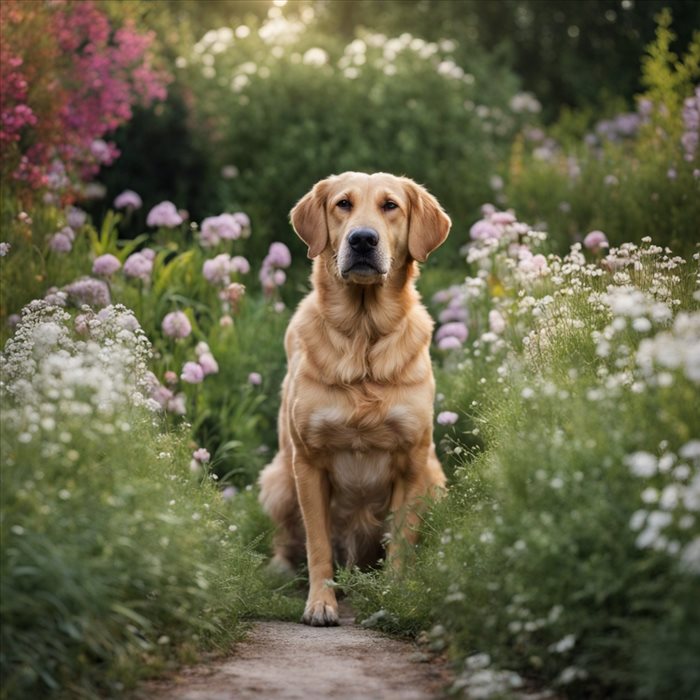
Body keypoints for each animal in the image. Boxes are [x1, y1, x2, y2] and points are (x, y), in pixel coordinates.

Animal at [260, 172, 452, 628]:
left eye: (390, 206)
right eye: (343, 204)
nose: (363, 240)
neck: (363, 338)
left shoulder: (412, 461)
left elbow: (399, 541)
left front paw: (393, 598)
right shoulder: (308, 462)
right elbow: (317, 545)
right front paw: (320, 603)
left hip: (436, 482)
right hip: (277, 479)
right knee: (287, 540)